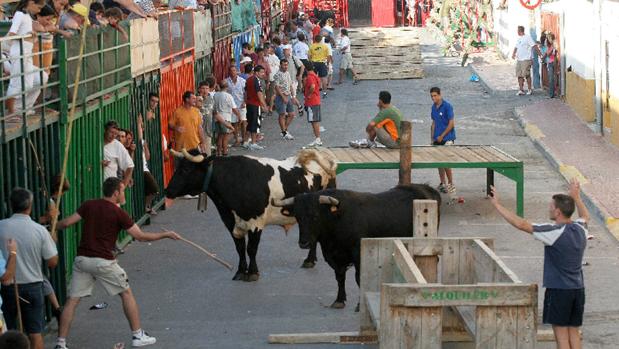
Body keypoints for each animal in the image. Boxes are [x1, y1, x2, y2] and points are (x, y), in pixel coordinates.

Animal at [274, 184, 440, 308]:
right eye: (297, 217)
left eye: (315, 215)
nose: (304, 243)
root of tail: (425, 188)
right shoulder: (334, 257)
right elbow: (340, 277)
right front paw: (339, 300)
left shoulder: (358, 255)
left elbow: (359, 279)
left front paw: (359, 305)